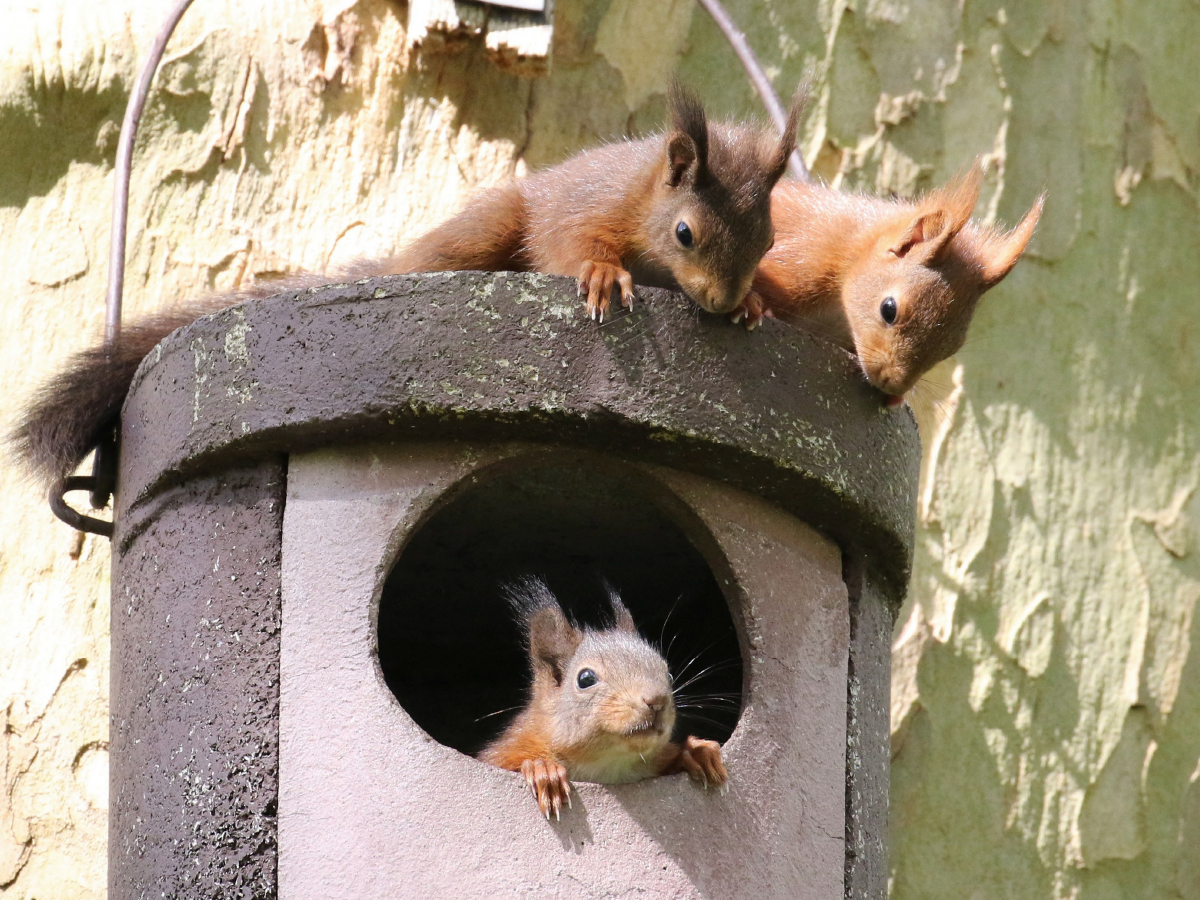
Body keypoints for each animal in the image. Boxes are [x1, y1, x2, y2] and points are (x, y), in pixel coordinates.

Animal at [14, 82, 801, 508]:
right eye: (686, 233)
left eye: (767, 241)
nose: (721, 298)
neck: (645, 203)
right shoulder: (589, 209)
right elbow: (572, 244)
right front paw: (605, 276)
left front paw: (754, 305)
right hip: (482, 230)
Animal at [480, 578, 729, 825]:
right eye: (585, 679)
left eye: (668, 674)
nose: (657, 701)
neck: (607, 766)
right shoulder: (511, 747)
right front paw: (543, 769)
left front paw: (697, 751)